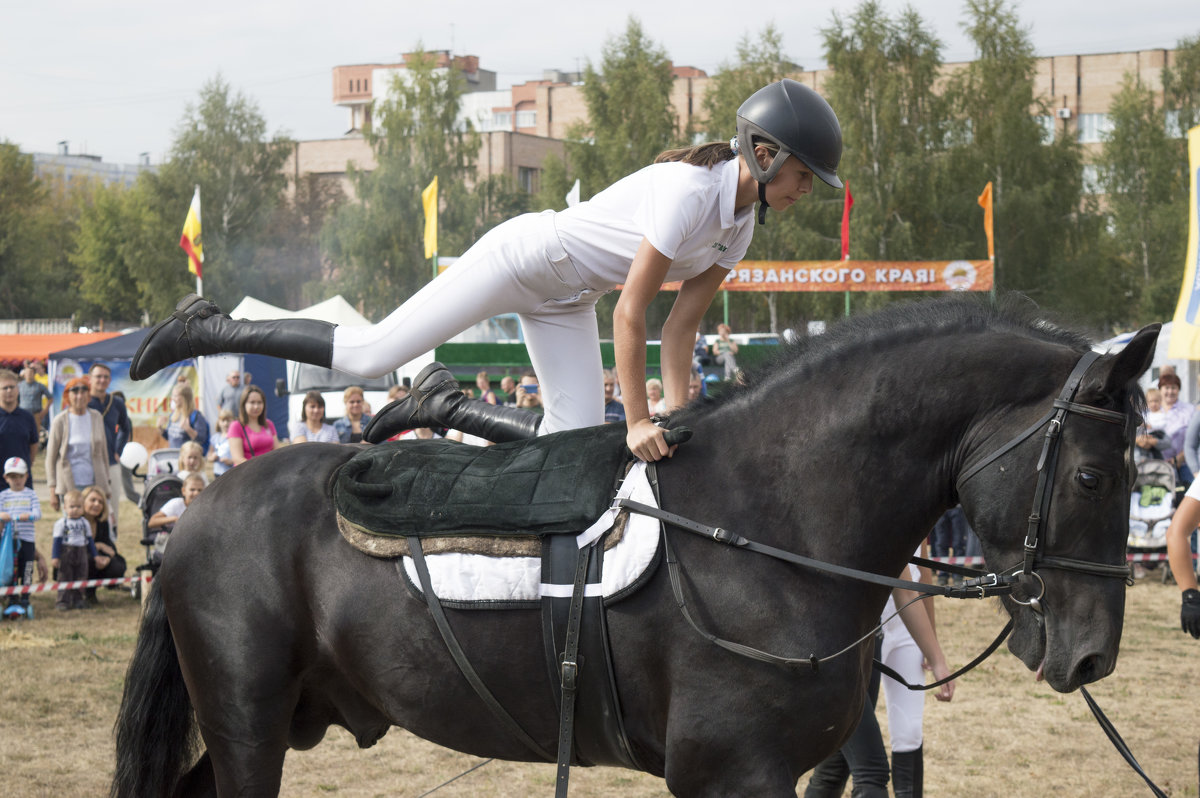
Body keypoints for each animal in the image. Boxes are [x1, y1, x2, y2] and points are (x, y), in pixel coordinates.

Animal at [112, 300, 1161, 796]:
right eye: (1092, 478)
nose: (1091, 656)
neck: (771, 525)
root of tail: (201, 507)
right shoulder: (729, 777)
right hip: (249, 727)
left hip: (281, 722)